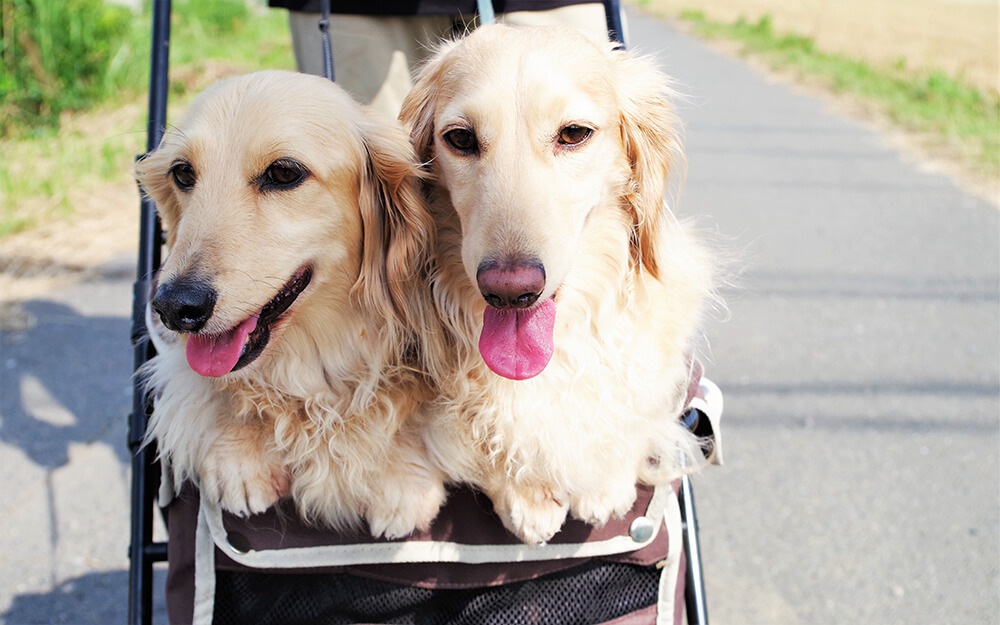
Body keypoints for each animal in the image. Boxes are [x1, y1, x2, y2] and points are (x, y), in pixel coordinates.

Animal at [135, 69, 448, 536]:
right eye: (183, 173)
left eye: (283, 172)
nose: (174, 307)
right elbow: (219, 387)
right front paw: (239, 456)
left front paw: (403, 478)